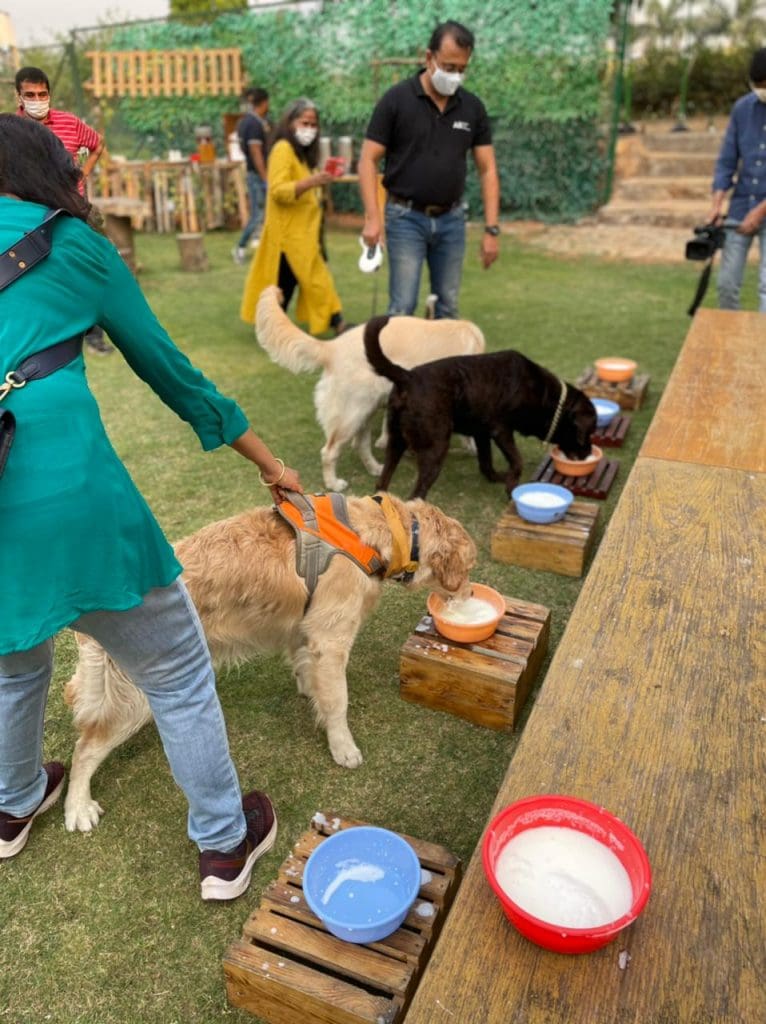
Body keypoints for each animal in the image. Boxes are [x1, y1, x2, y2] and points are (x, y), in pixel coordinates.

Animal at [257, 284, 485, 491]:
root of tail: (332, 347)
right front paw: (472, 447)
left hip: (366, 409)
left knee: (360, 444)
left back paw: (375, 468)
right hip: (352, 414)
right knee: (329, 451)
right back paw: (333, 484)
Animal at [364, 315, 598, 499]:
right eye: (587, 433)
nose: (588, 454)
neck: (544, 395)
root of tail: (407, 377)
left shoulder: (482, 434)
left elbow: (486, 464)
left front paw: (500, 478)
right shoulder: (501, 431)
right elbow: (517, 461)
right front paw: (511, 486)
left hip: (396, 442)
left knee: (382, 483)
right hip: (436, 447)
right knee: (415, 495)